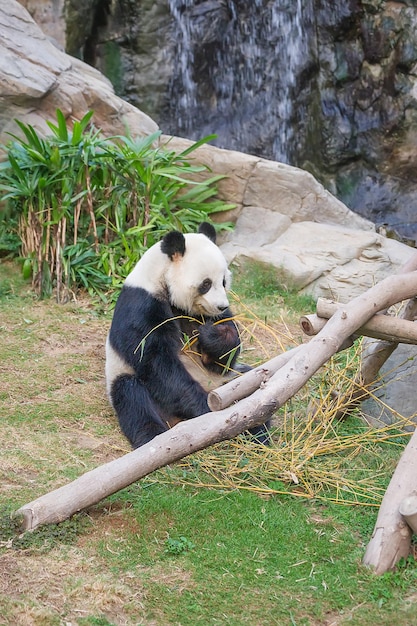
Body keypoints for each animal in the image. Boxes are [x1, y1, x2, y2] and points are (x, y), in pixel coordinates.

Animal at [105, 222, 270, 446]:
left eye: (224, 281)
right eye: (206, 283)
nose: (221, 306)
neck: (160, 278)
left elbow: (222, 358)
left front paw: (214, 335)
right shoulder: (141, 305)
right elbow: (156, 362)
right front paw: (204, 407)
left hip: (226, 381)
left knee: (249, 384)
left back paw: (258, 432)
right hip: (126, 380)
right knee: (133, 398)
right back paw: (153, 436)